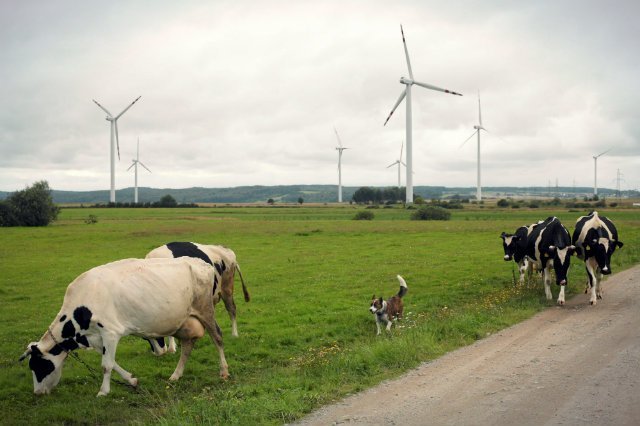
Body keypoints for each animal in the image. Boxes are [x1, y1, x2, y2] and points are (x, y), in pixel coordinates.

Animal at [19, 256, 230, 396]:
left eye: (39, 366)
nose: (37, 393)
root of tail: (202, 263)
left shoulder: (110, 332)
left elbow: (106, 365)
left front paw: (103, 392)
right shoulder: (95, 338)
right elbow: (111, 362)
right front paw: (132, 380)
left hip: (206, 310)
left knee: (218, 337)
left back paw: (224, 371)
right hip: (184, 321)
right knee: (187, 346)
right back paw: (176, 375)